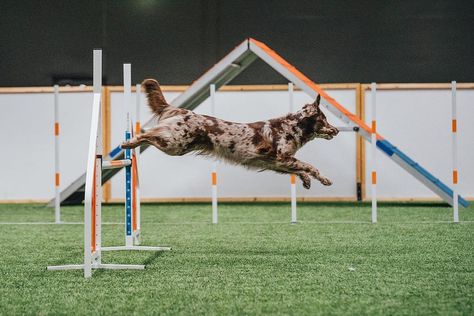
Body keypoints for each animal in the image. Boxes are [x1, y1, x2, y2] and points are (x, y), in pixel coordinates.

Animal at [120, 78, 338, 189]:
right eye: (324, 119)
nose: (335, 130)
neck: (291, 128)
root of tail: (184, 111)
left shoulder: (275, 163)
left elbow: (300, 170)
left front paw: (306, 181)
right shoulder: (281, 158)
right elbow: (310, 166)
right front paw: (325, 179)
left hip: (177, 145)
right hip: (175, 144)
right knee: (148, 134)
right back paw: (129, 142)